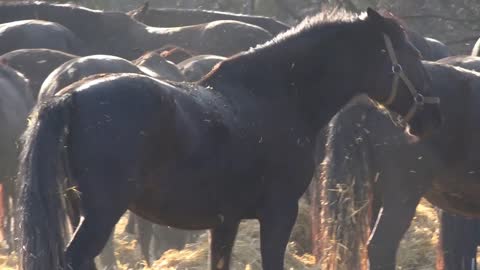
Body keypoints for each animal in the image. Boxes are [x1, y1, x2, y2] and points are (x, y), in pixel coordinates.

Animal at [17, 8, 438, 270]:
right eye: (409, 54)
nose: (432, 113)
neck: (277, 96)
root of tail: (71, 95)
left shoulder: (225, 222)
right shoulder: (278, 214)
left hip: (79, 210)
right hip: (102, 213)